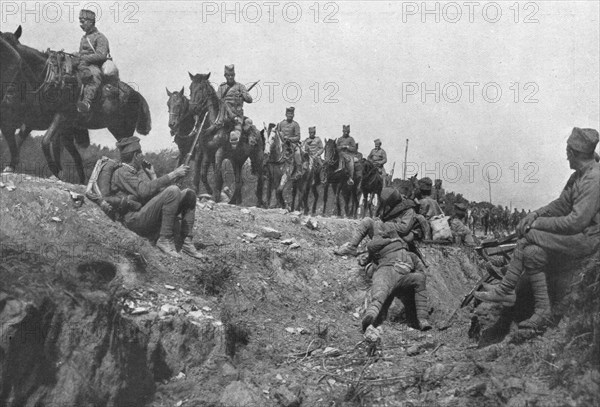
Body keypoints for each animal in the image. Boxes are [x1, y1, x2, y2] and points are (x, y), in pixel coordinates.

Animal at [0, 25, 150, 183]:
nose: (6, 96)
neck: (51, 77)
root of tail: (136, 94)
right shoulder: (37, 121)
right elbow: (20, 139)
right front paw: (11, 165)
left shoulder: (61, 115)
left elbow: (45, 141)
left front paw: (55, 171)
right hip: (114, 128)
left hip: (123, 129)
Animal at [188, 72, 262, 207]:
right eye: (191, 87)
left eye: (201, 88)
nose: (192, 109)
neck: (213, 125)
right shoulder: (207, 151)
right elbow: (202, 174)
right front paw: (207, 193)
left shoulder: (219, 152)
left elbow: (217, 175)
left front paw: (214, 197)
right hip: (237, 160)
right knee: (239, 181)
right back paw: (234, 201)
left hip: (257, 157)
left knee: (261, 177)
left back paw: (259, 202)